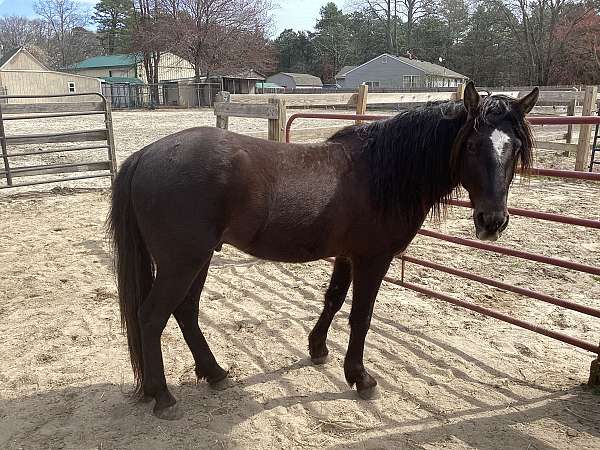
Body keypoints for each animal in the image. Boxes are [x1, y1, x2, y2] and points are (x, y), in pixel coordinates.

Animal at [108, 82, 540, 420]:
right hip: (182, 262)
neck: (380, 172)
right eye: (471, 144)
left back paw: (214, 374)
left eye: (516, 146)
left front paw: (317, 349)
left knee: (185, 312)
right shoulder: (372, 259)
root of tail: (145, 155)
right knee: (152, 316)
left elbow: (333, 300)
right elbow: (361, 317)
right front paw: (360, 377)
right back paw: (163, 396)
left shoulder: (346, 256)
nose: (491, 222)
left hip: (197, 260)